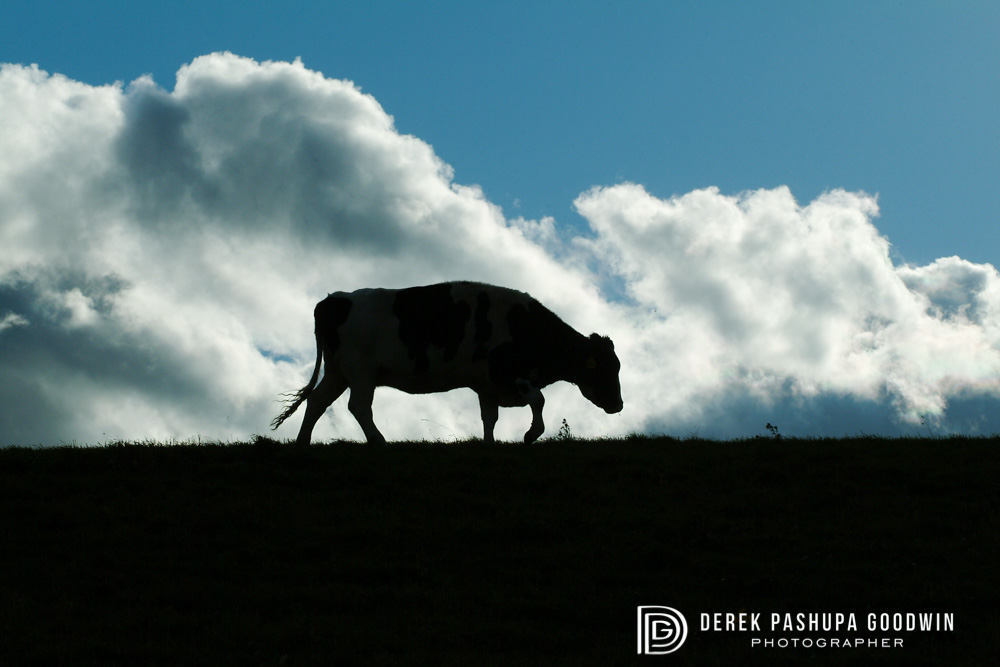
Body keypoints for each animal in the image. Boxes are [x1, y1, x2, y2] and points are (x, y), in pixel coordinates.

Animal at [270, 280, 620, 444]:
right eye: (605, 367)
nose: (618, 405)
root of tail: (334, 300)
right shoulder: (508, 374)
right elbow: (539, 399)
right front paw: (532, 434)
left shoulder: (486, 384)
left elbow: (489, 418)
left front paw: (489, 444)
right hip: (361, 371)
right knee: (358, 406)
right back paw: (379, 441)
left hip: (339, 371)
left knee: (317, 401)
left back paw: (302, 443)